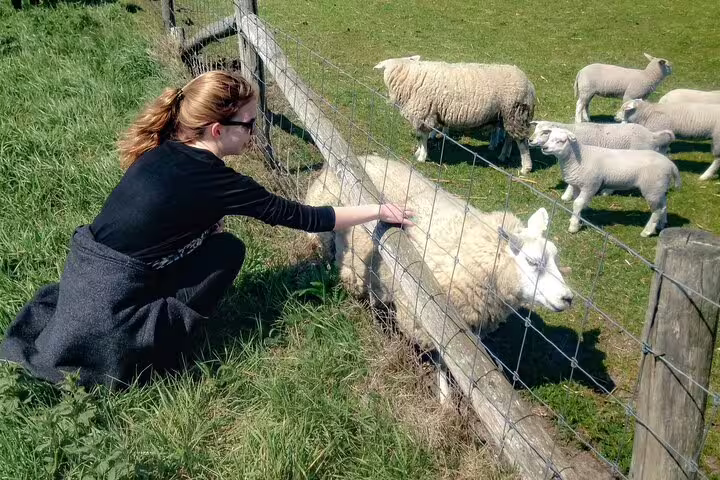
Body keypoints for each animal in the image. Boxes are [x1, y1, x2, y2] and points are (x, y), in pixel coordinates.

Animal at [305, 155, 574, 401]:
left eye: (555, 256)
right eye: (532, 262)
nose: (568, 298)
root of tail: (361, 158)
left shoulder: (462, 326)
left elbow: (453, 360)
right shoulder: (433, 317)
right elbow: (442, 360)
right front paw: (445, 396)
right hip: (345, 245)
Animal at [374, 56, 537, 174]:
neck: (411, 76)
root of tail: (530, 85)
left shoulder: (424, 113)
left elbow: (422, 137)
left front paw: (421, 157)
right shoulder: (426, 115)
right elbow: (421, 136)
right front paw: (419, 152)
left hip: (516, 112)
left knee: (522, 142)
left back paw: (525, 168)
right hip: (507, 116)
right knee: (510, 137)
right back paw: (503, 155)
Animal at [528, 120, 675, 199]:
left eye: (545, 132)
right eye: (534, 129)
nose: (530, 140)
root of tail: (652, 135)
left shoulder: (578, 162)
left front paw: (566, 196)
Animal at [540, 128, 681, 237]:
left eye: (561, 141)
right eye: (549, 137)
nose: (544, 147)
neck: (580, 157)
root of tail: (671, 165)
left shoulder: (590, 185)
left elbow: (578, 203)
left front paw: (573, 227)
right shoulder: (577, 185)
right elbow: (576, 203)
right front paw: (576, 219)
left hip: (651, 188)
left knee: (657, 211)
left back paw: (647, 231)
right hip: (659, 188)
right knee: (663, 206)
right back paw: (662, 224)